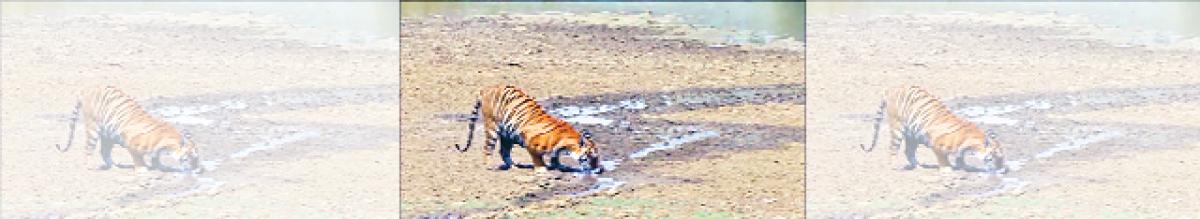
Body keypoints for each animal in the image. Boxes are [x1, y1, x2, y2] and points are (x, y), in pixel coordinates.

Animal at [54, 85, 202, 173]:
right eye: (192, 156)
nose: (199, 169)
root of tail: (88, 90)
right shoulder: (131, 142)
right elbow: (138, 157)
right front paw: (142, 169)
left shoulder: (155, 150)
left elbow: (155, 158)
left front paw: (161, 166)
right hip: (93, 129)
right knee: (88, 150)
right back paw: (91, 166)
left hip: (108, 135)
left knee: (104, 151)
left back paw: (115, 166)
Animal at [451, 84, 604, 174]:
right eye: (592, 156)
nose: (600, 169)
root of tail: (486, 89)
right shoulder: (530, 140)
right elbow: (537, 157)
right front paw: (542, 169)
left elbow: (555, 157)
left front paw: (560, 166)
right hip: (492, 127)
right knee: (488, 149)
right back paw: (490, 166)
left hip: (507, 135)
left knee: (503, 151)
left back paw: (514, 166)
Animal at [859, 85, 1008, 173]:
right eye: (996, 156)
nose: (1004, 170)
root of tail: (892, 89)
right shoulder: (936, 143)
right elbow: (943, 158)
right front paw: (947, 169)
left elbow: (960, 157)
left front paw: (965, 166)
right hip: (898, 128)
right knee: (893, 149)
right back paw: (895, 166)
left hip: (912, 135)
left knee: (908, 151)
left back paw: (919, 167)